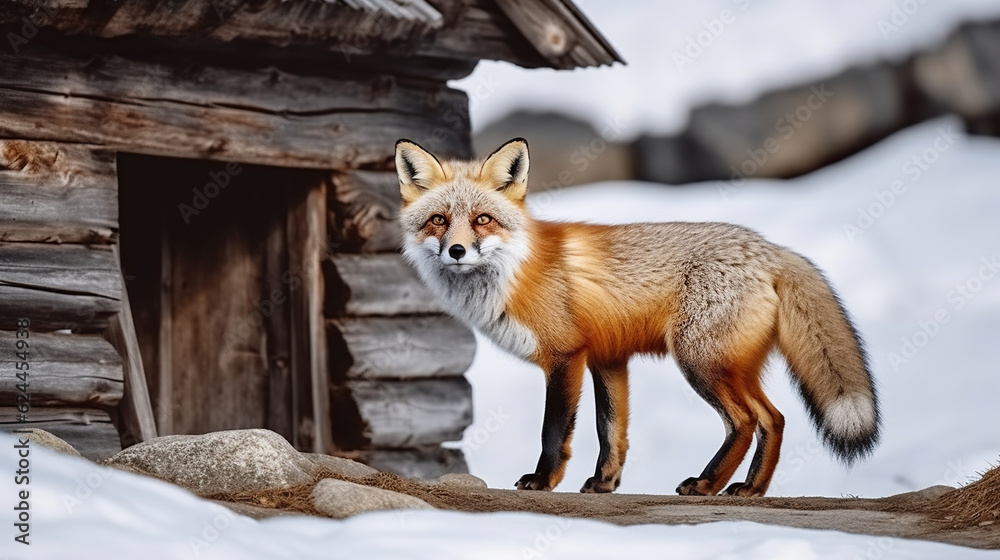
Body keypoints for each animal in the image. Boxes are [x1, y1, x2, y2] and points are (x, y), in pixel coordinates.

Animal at [395, 137, 880, 497]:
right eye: (438, 220)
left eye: (483, 219)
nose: (457, 251)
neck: (516, 272)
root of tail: (769, 247)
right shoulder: (608, 358)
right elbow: (611, 430)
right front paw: (604, 482)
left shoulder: (565, 356)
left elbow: (554, 430)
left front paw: (544, 481)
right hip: (733, 365)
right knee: (773, 418)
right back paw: (750, 489)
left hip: (700, 362)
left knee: (744, 421)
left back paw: (706, 484)